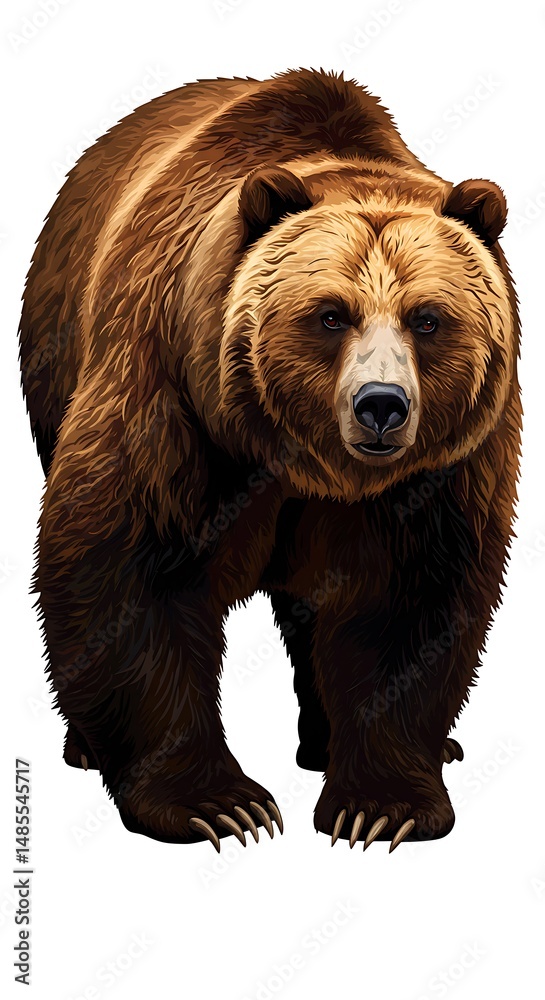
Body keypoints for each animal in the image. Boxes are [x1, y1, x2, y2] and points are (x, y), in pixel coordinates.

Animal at [19, 68, 520, 851]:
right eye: (330, 314)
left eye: (427, 318)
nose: (381, 405)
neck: (306, 463)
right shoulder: (176, 397)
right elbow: (132, 569)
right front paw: (218, 805)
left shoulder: (437, 471)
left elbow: (407, 600)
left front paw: (380, 806)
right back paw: (84, 746)